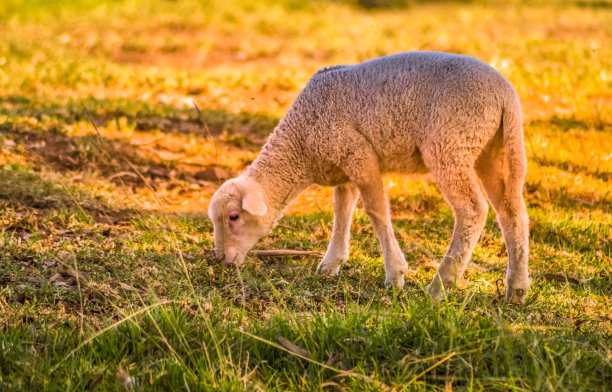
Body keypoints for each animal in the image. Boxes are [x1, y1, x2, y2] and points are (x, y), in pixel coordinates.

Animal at [207, 51, 532, 304]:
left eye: (233, 217)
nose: (222, 261)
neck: (302, 142)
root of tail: (505, 94)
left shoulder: (359, 154)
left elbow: (376, 211)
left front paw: (395, 275)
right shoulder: (343, 167)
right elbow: (342, 212)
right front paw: (331, 264)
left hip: (451, 143)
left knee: (473, 211)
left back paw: (440, 286)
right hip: (497, 148)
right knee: (512, 212)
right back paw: (516, 289)